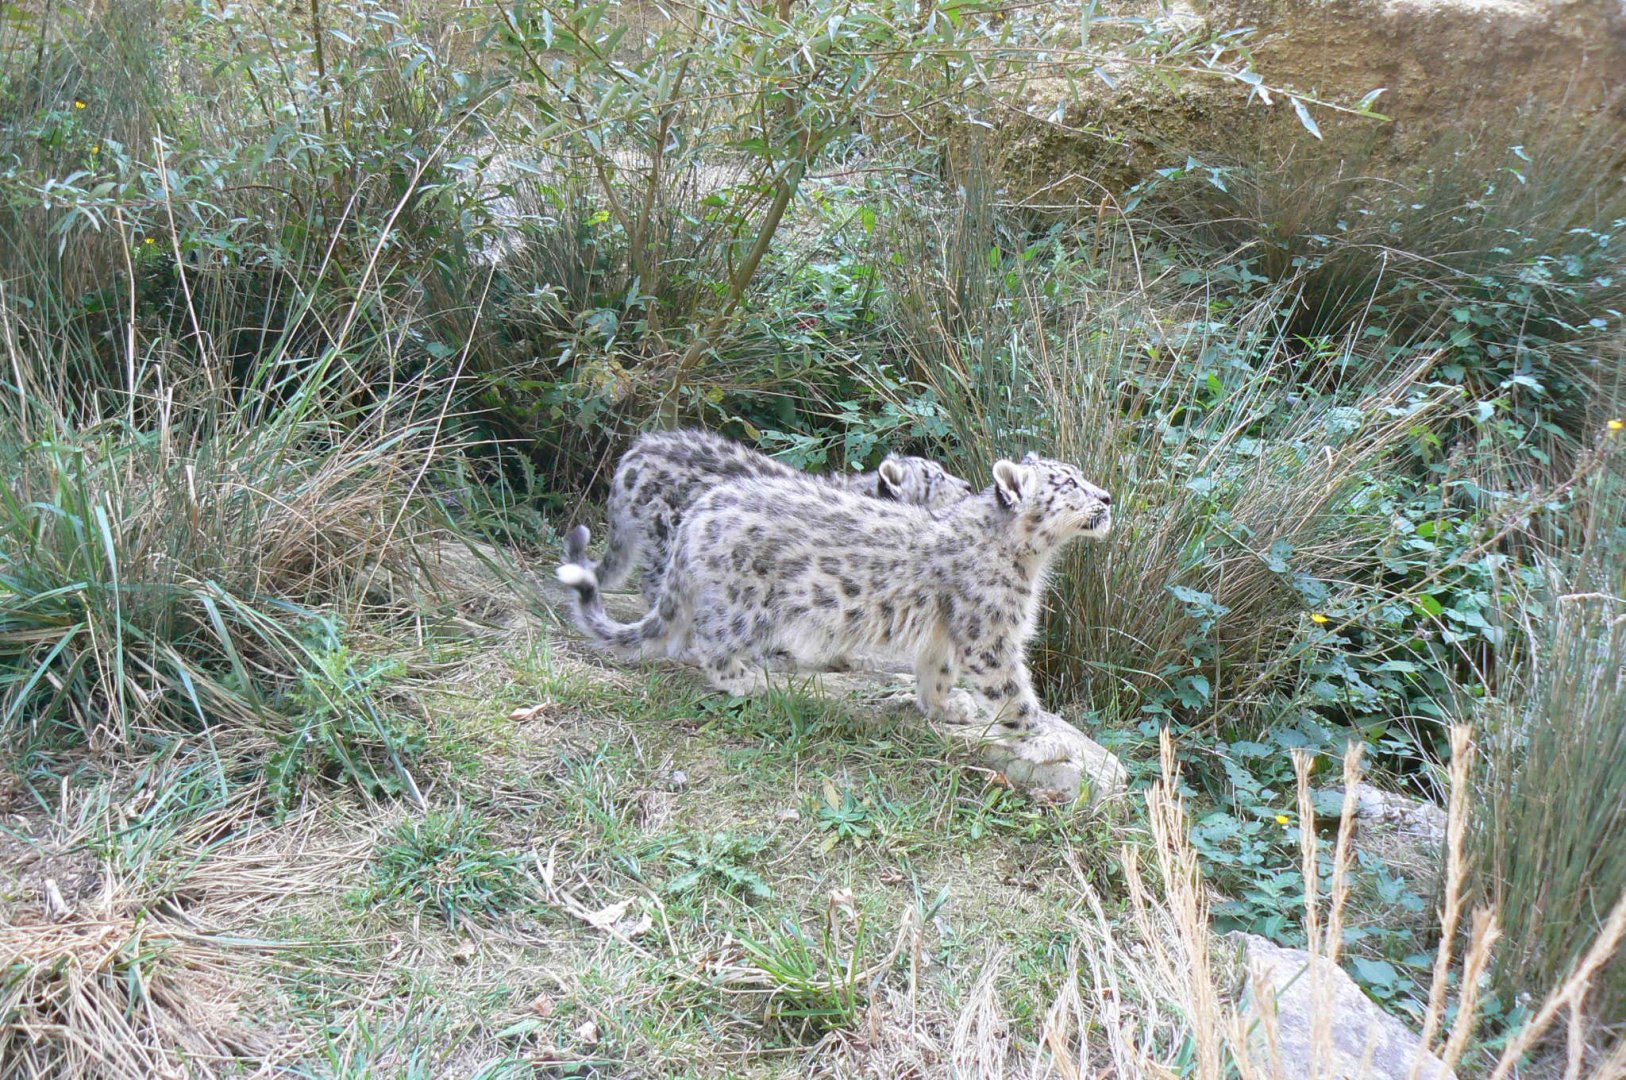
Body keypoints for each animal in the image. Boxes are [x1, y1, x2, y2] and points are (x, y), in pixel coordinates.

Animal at [555, 453, 1112, 758]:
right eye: (1069, 483)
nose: (1107, 497)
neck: (1032, 560)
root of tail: (700, 512)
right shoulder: (990, 635)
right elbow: (1013, 690)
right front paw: (1045, 736)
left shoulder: (943, 634)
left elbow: (935, 672)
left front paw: (946, 707)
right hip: (749, 604)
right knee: (709, 642)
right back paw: (747, 681)